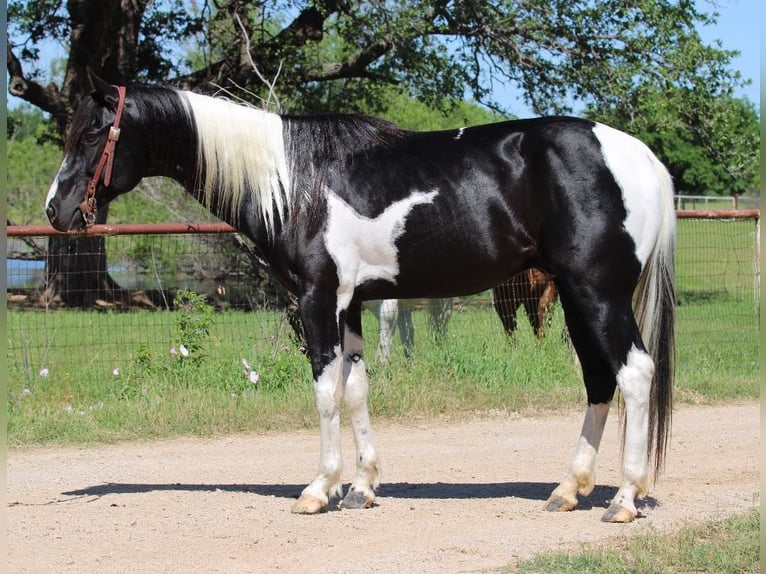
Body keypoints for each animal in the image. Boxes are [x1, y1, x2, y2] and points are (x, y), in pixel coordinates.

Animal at [45, 76, 676, 528]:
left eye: (94, 135)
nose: (57, 210)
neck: (291, 183)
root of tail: (640, 157)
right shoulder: (349, 305)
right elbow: (356, 389)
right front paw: (362, 487)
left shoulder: (318, 300)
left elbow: (325, 392)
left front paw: (318, 489)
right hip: (575, 296)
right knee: (598, 379)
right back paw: (568, 490)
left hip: (597, 293)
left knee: (635, 374)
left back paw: (624, 499)